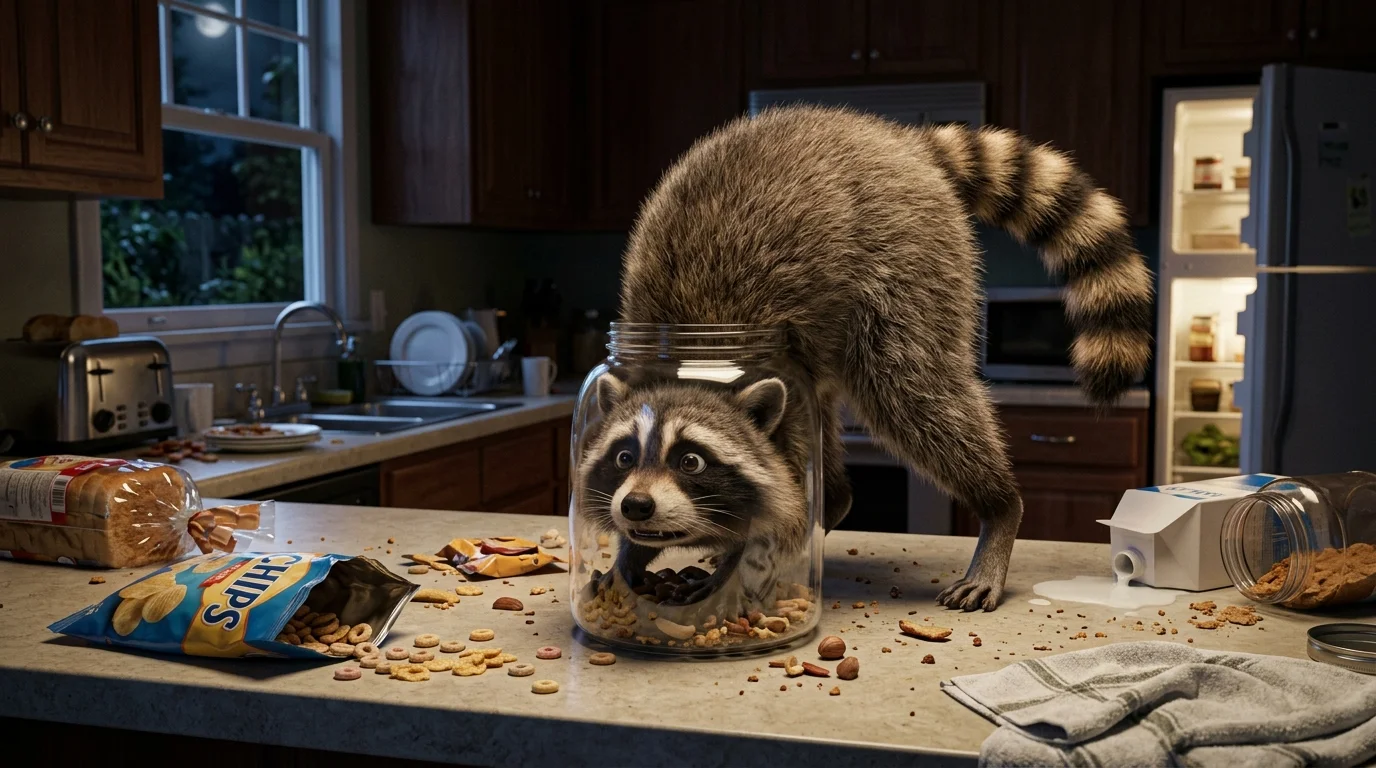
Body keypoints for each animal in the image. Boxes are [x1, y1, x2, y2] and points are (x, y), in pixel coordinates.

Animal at [579, 105, 1153, 613]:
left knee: (911, 391)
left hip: (905, 260)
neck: (693, 369)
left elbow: (786, 507)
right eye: (624, 458)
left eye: (692, 462)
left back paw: (998, 507)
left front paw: (736, 564)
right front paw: (632, 555)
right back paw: (831, 507)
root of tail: (894, 138)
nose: (636, 507)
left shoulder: (781, 423)